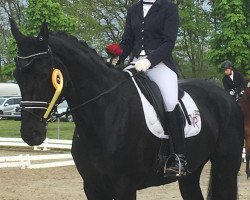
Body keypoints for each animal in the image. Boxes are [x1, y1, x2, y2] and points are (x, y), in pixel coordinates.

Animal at [11, 19, 244, 198]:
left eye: (44, 74)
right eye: (16, 76)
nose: (31, 133)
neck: (104, 113)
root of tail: (227, 98)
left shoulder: (125, 186)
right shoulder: (92, 187)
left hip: (225, 168)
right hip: (190, 174)